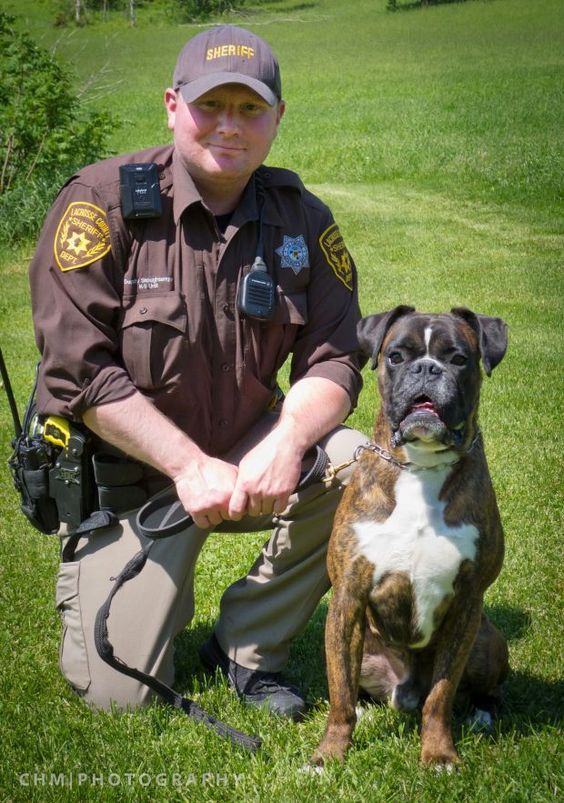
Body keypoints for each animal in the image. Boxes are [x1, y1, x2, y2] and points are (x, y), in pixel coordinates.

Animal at [312, 306, 512, 768]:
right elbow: (339, 694)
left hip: (486, 640)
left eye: (459, 359)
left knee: (483, 690)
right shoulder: (348, 596)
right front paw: (329, 754)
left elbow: (441, 696)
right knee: (355, 687)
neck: (420, 467)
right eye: (396, 356)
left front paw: (438, 754)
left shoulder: (467, 603)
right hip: (364, 646)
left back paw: (482, 715)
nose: (426, 368)